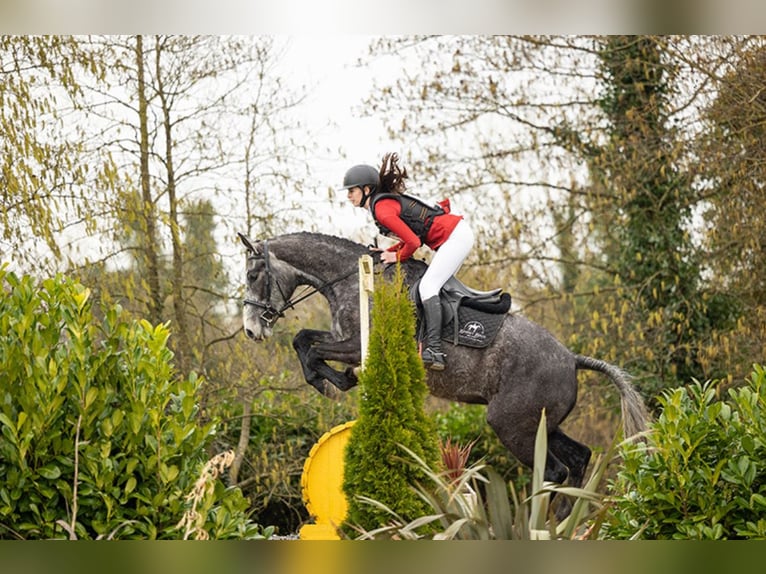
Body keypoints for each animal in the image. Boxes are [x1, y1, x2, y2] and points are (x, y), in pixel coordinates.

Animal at [238, 232, 648, 510]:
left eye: (253, 276)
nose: (252, 331)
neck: (352, 279)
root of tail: (571, 359)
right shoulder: (343, 338)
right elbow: (304, 341)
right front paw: (332, 379)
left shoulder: (357, 345)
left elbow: (313, 350)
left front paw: (338, 380)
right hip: (542, 423)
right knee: (578, 458)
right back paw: (565, 520)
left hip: (512, 425)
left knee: (552, 472)